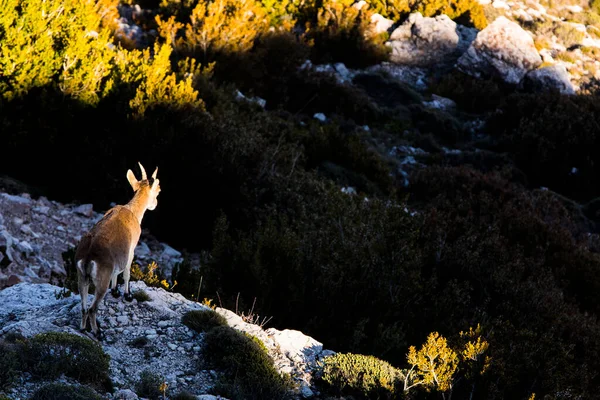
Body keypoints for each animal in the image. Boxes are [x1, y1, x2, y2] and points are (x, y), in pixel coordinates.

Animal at [74, 161, 161, 340]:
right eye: (158, 189)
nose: (155, 204)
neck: (133, 211)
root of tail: (87, 257)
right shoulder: (131, 249)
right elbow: (126, 272)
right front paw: (127, 295)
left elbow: (117, 272)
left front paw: (115, 291)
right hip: (101, 281)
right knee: (92, 308)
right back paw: (98, 333)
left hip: (81, 277)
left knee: (83, 307)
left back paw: (84, 329)